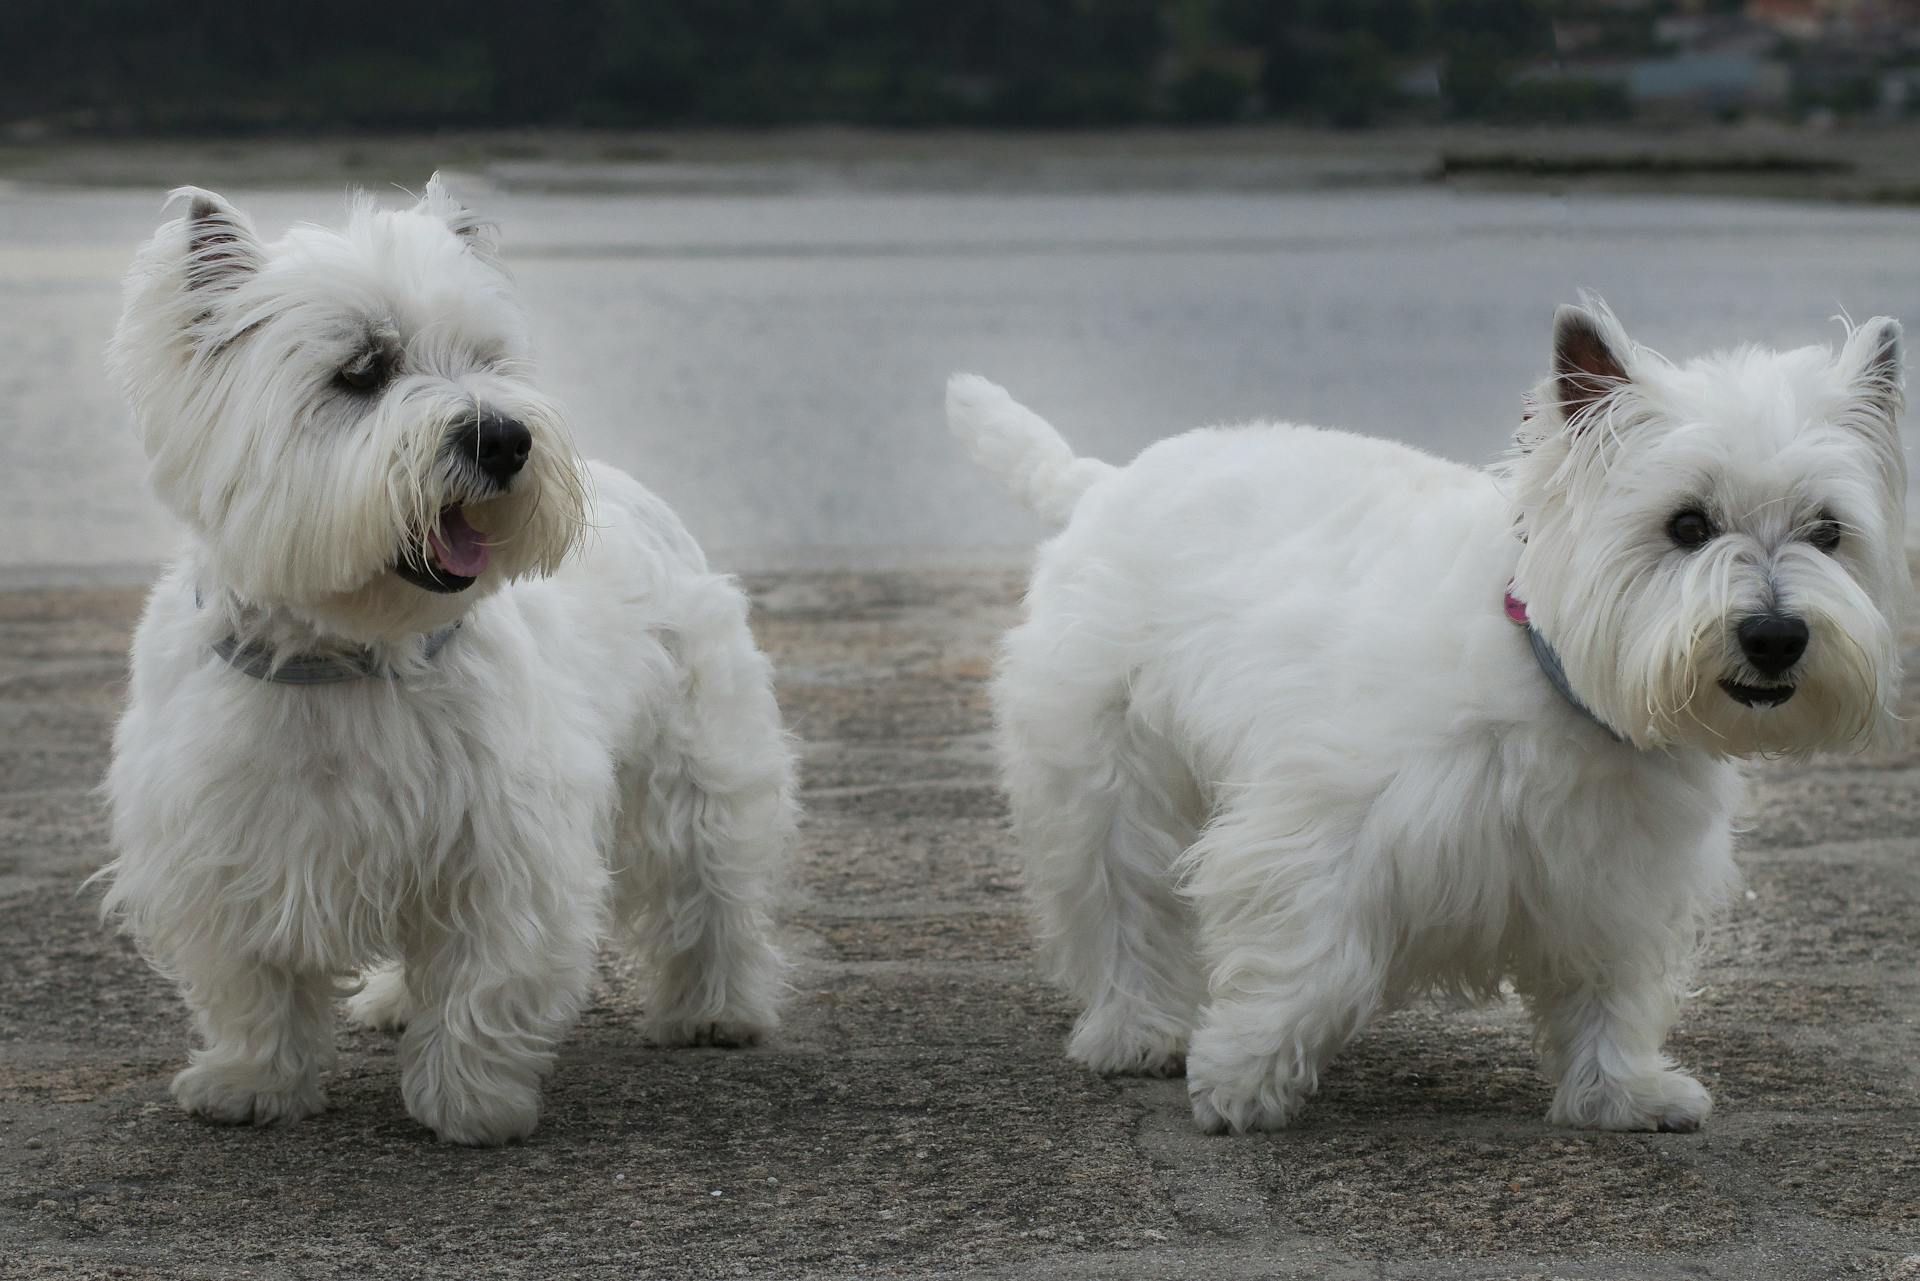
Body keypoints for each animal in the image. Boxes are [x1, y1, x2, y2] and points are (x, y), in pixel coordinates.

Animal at [99, 175, 794, 1144]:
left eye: (486, 356)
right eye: (362, 369)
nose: (504, 438)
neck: (345, 651)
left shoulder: (502, 844)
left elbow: (484, 979)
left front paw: (471, 1103)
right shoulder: (222, 845)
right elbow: (254, 982)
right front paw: (249, 1083)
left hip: (694, 767)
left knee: (710, 888)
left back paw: (715, 1011)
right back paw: (393, 1001)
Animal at [952, 303, 1912, 1144]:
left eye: (1828, 530)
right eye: (1686, 523)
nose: (1777, 637)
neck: (1548, 674)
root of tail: (1102, 483)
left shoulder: (1619, 876)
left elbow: (1611, 987)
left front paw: (1622, 1093)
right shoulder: (1322, 829)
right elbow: (1311, 961)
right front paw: (1240, 1079)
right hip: (1104, 774)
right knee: (1121, 903)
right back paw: (1136, 1033)